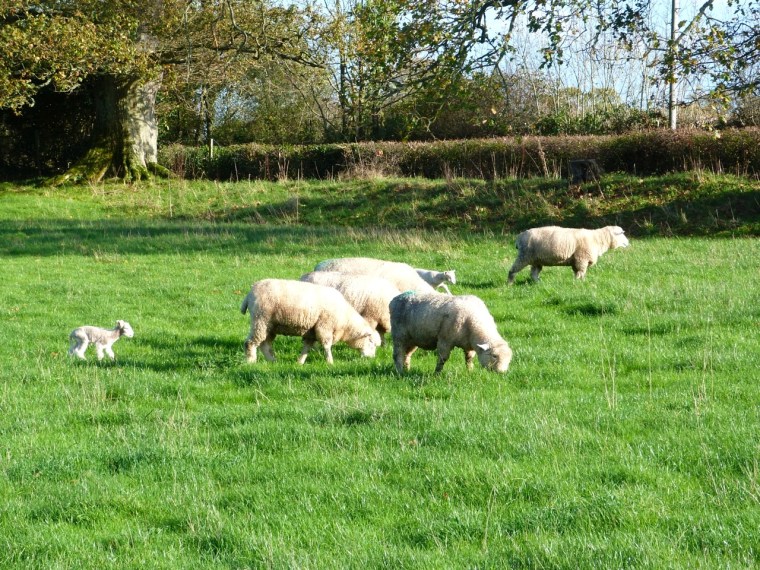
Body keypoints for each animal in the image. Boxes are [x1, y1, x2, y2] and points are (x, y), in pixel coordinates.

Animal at [240, 278, 382, 365]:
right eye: (371, 343)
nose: (372, 359)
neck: (346, 322)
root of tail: (250, 294)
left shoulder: (312, 332)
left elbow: (306, 348)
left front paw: (300, 362)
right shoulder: (324, 327)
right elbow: (326, 346)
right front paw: (330, 362)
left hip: (270, 325)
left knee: (265, 344)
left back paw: (272, 361)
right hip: (260, 319)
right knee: (250, 342)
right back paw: (251, 361)